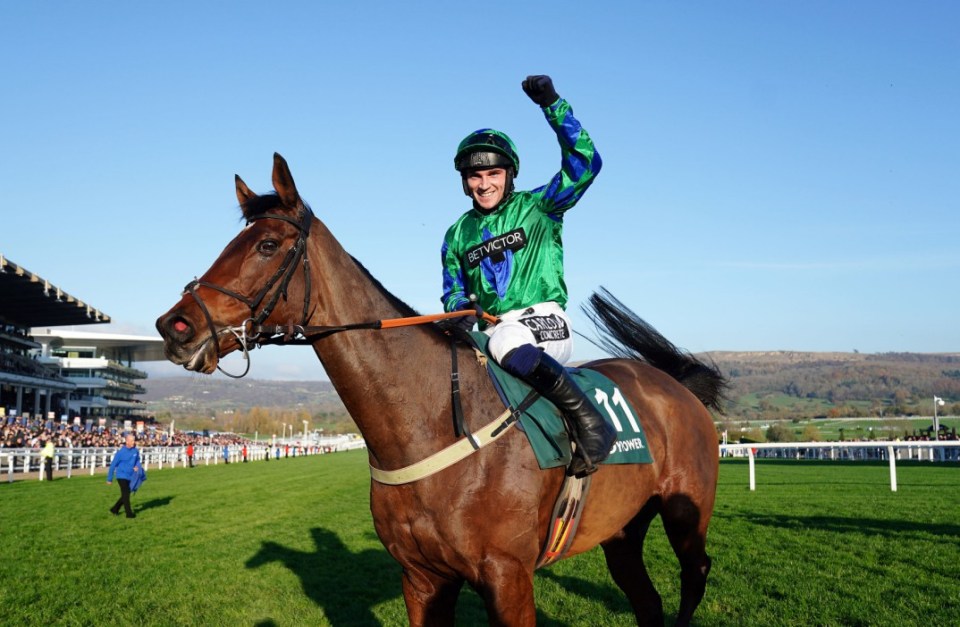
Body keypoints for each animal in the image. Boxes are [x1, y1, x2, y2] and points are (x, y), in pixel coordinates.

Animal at [158, 153, 724, 627]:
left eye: (267, 245)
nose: (174, 326)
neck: (428, 424)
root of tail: (674, 385)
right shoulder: (423, 578)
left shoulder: (508, 577)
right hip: (622, 531)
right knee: (646, 600)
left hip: (685, 511)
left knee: (695, 574)